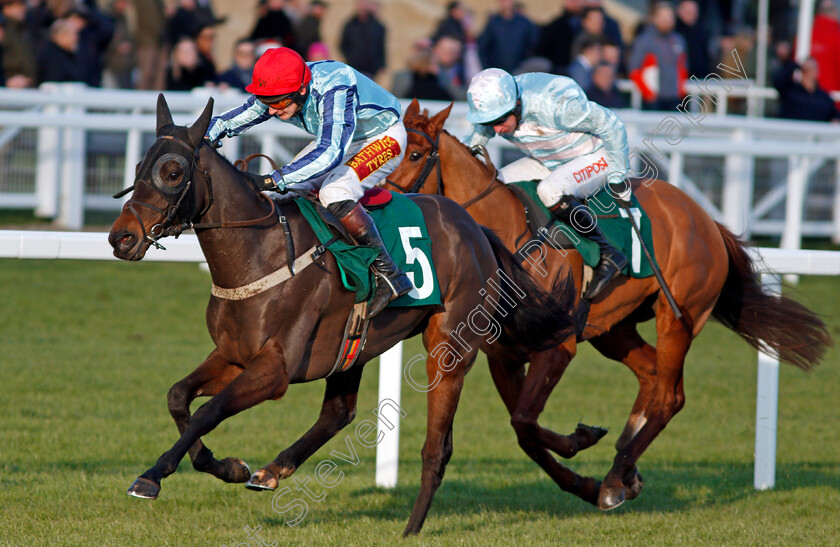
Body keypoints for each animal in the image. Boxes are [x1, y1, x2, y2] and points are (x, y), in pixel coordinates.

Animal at [106, 94, 576, 536]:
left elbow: (209, 411)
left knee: (436, 447)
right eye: (139, 167)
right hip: (355, 346)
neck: (261, 254)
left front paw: (151, 477)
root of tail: (476, 228)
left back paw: (412, 527)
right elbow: (178, 398)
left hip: (449, 347)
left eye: (173, 173)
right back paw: (271, 471)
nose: (120, 238)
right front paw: (230, 467)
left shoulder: (274, 370)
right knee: (338, 412)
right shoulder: (233, 356)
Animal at [388, 101, 832, 512]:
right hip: (614, 329)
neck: (510, 237)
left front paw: (583, 442)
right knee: (652, 375)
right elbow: (525, 433)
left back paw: (617, 477)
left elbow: (525, 423)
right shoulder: (504, 356)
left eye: (415, 154)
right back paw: (625, 467)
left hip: (678, 317)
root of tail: (705, 219)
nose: (384, 203)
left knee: (669, 397)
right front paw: (583, 471)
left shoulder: (557, 347)